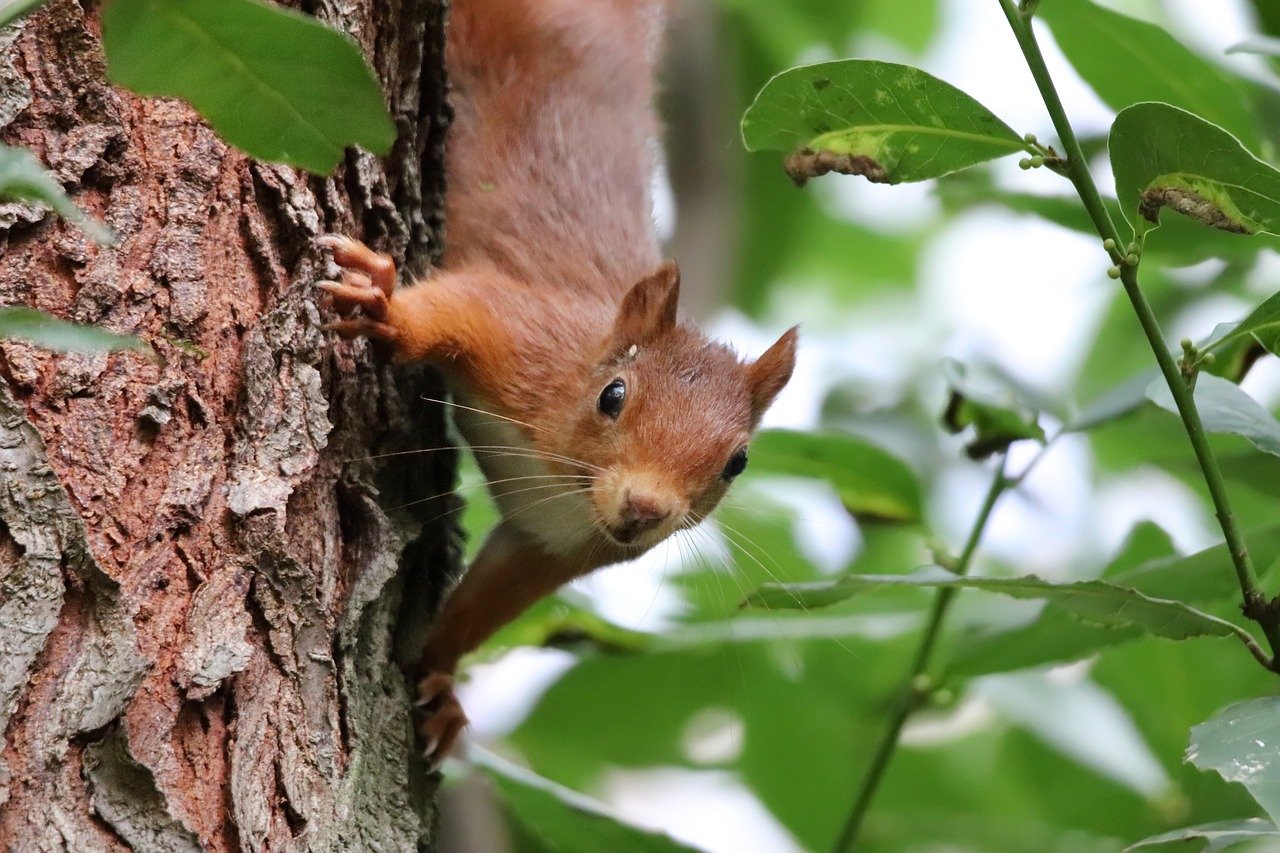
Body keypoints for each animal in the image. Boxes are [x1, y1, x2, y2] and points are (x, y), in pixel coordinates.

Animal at [314, 0, 793, 758]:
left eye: (737, 462)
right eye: (612, 395)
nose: (646, 509)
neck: (567, 484)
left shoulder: (547, 545)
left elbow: (486, 601)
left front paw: (440, 678)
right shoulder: (524, 335)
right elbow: (458, 306)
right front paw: (385, 304)